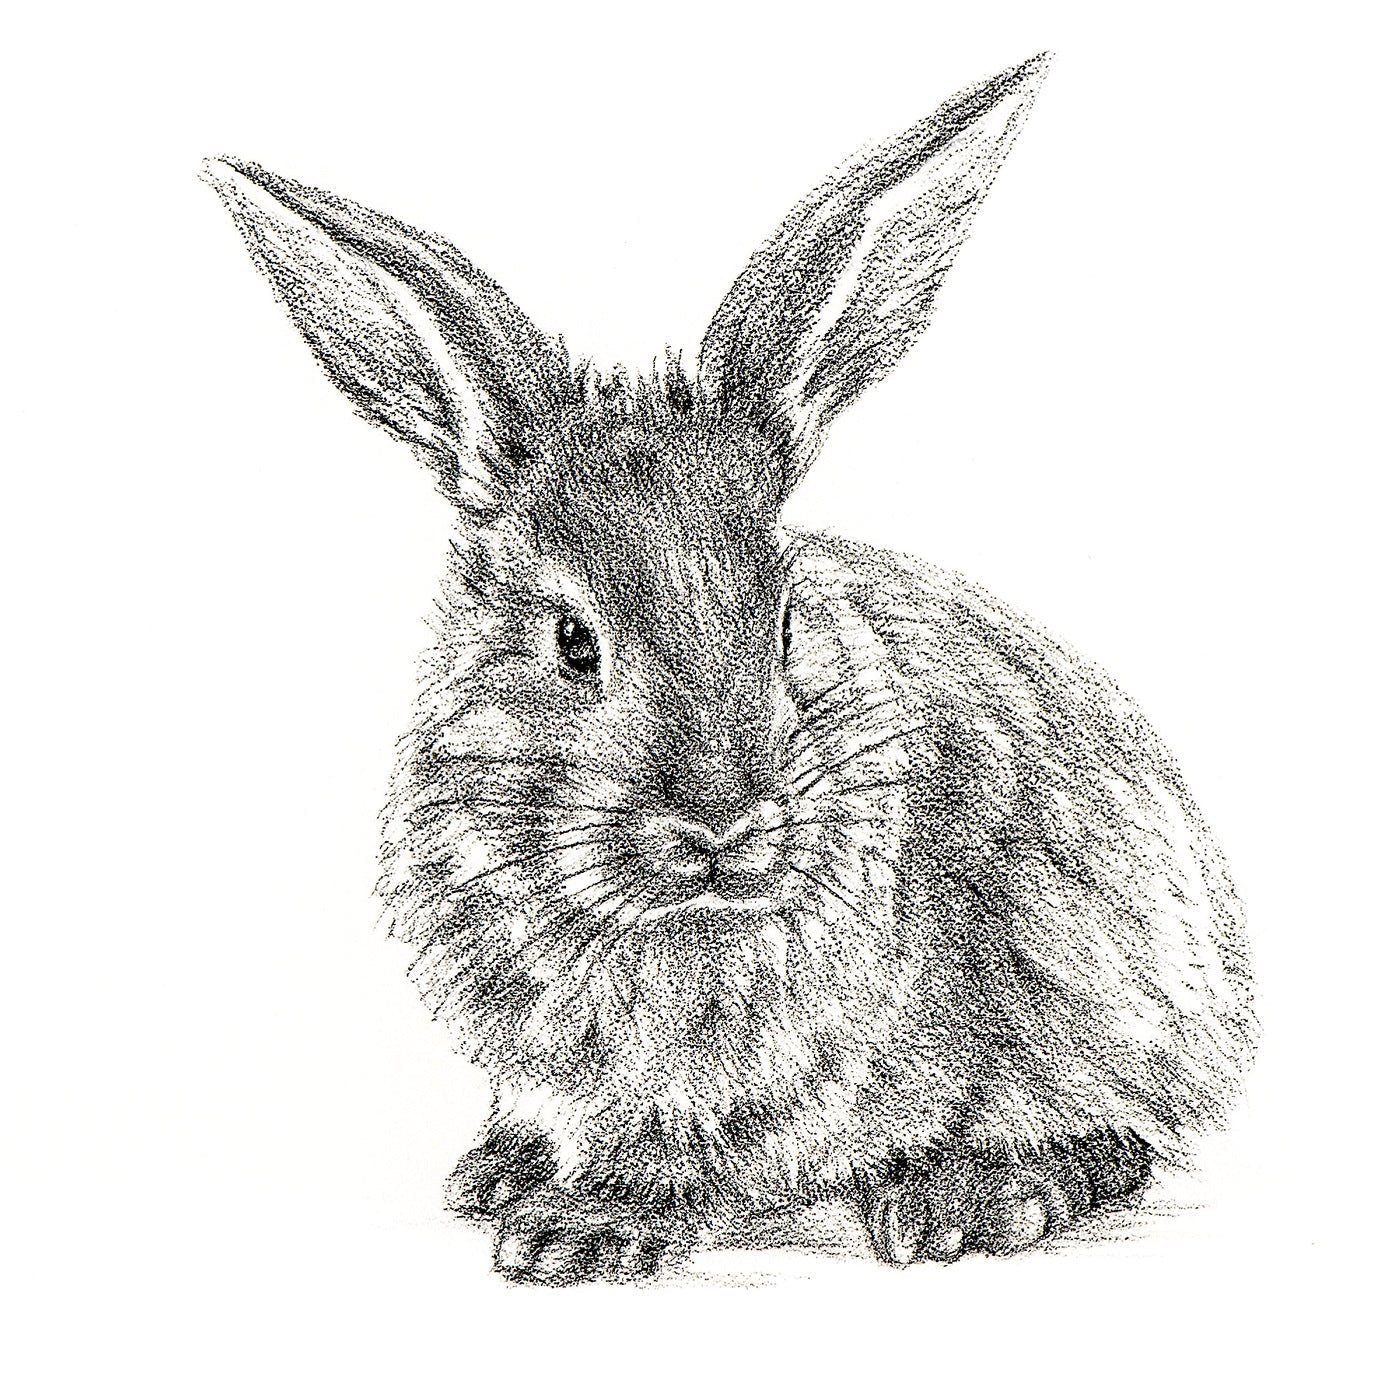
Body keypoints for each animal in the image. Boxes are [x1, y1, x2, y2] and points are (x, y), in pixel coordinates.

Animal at [204, 52, 1254, 1284]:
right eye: (572, 641)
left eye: (787, 619)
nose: (720, 823)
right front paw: (515, 1183)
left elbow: (695, 1147)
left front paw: (580, 1229)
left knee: (1111, 1133)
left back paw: (969, 1199)